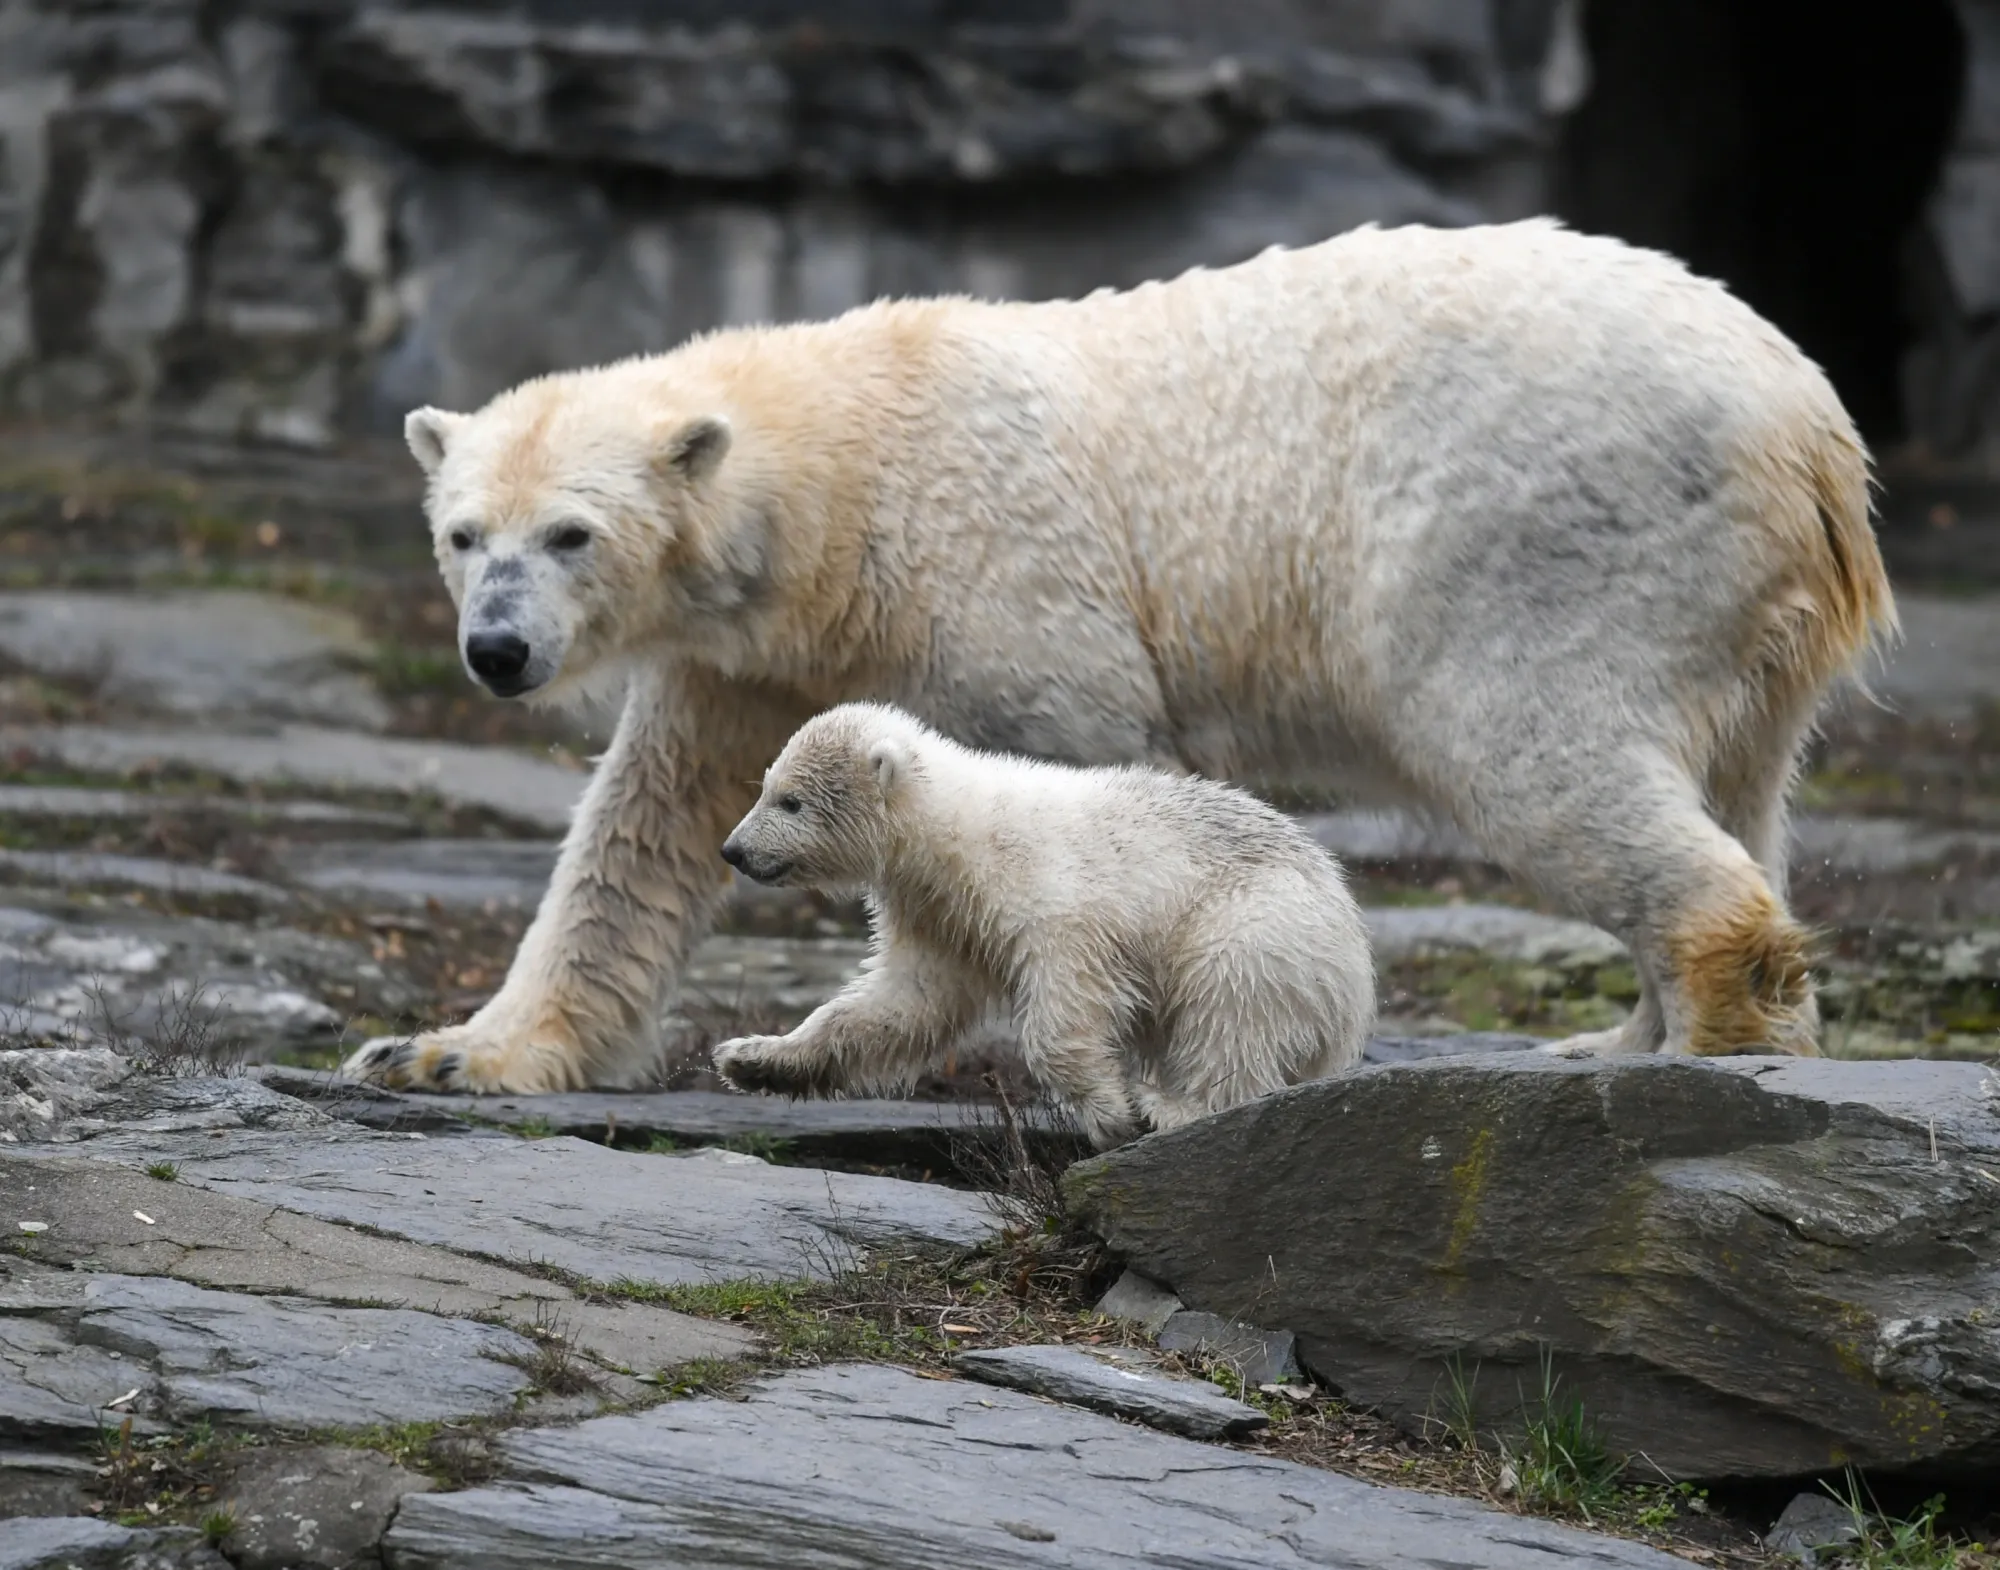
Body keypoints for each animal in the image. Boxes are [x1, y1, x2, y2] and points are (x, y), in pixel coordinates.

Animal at [341, 216, 1895, 1095]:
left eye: (573, 533)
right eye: (462, 531)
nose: (495, 650)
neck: (847, 476)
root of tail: (1810, 418)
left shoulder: (993, 581)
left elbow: (1074, 788)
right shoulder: (748, 659)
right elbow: (641, 836)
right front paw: (445, 1049)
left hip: (1553, 541)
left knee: (1550, 760)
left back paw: (1697, 1052)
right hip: (1735, 626)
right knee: (1734, 788)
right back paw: (1619, 1041)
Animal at [708, 702, 1376, 1148]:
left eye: (792, 801)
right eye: (766, 786)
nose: (734, 851)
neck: (957, 835)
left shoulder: (1057, 903)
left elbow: (1065, 1009)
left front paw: (1112, 1111)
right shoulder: (940, 916)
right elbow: (901, 1002)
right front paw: (754, 1057)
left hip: (1258, 926)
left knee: (1232, 1010)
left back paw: (1171, 1106)